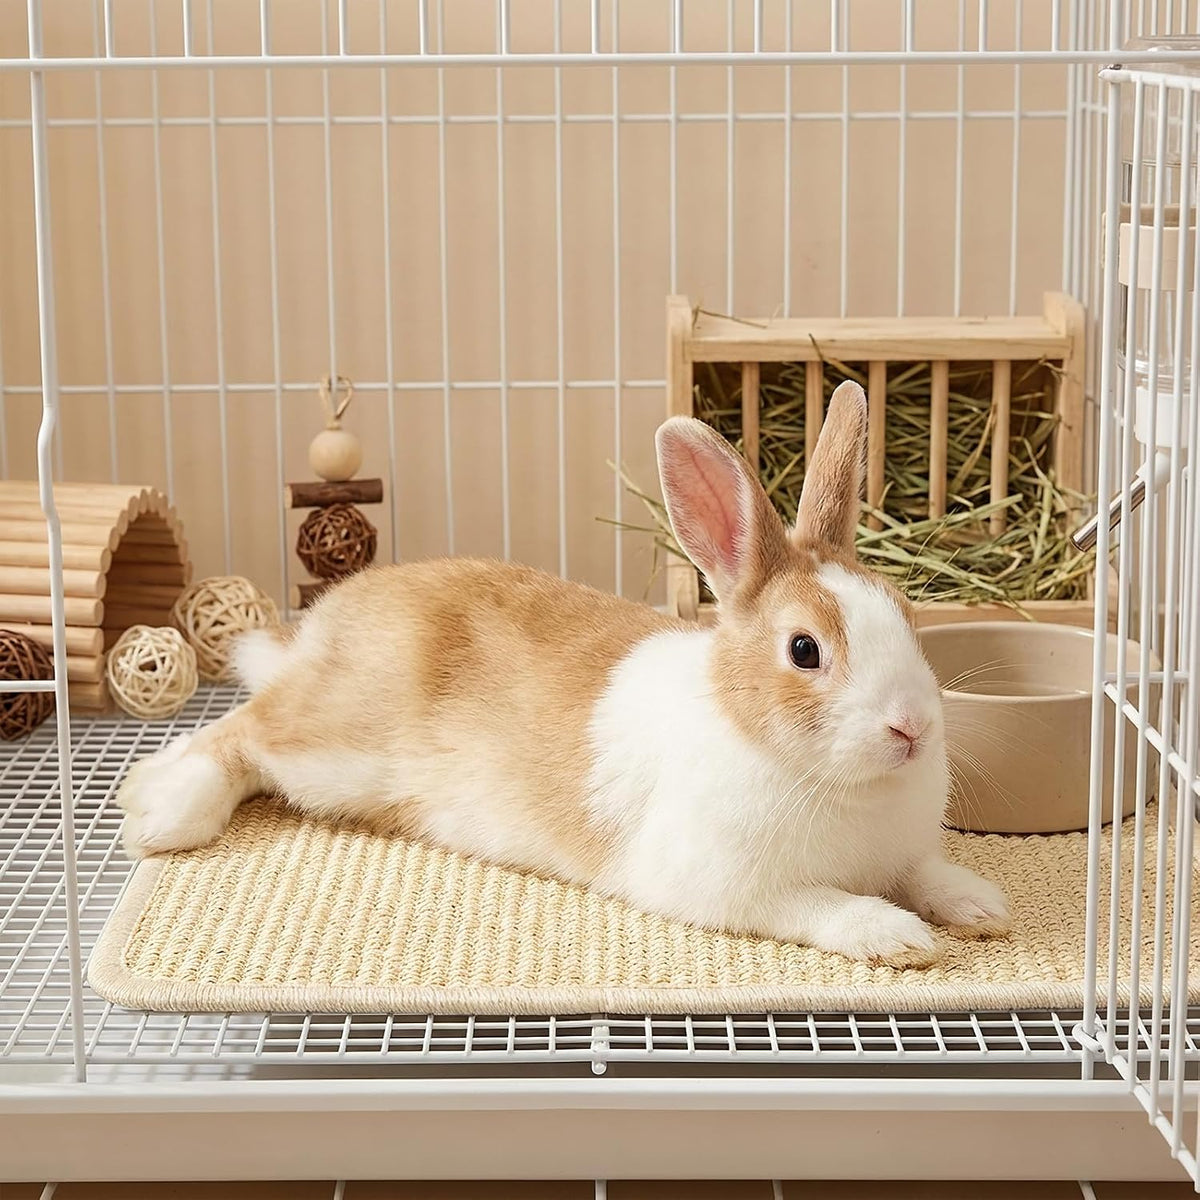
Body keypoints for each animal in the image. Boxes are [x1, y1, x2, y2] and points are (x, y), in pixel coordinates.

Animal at [116, 380, 1010, 965]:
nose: (912, 727)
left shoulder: (902, 854)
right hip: (335, 746)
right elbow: (822, 906)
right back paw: (162, 813)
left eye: (904, 611)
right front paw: (897, 937)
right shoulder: (730, 886)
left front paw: (981, 906)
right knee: (237, 734)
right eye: (804, 651)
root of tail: (328, 621)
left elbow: (926, 872)